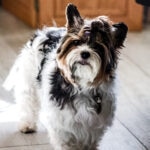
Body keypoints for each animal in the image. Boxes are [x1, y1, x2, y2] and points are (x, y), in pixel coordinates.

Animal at [3, 3, 127, 150]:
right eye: (77, 42)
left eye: (98, 46)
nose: (85, 53)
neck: (82, 84)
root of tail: (47, 30)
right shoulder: (62, 122)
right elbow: (65, 140)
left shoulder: (93, 124)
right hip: (28, 82)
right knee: (27, 102)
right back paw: (27, 125)